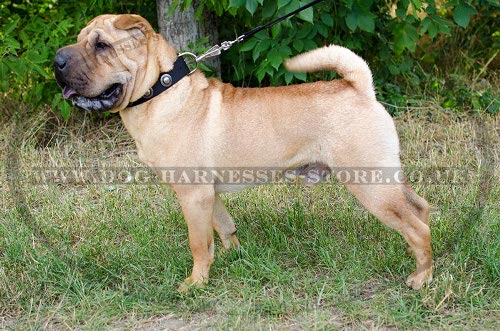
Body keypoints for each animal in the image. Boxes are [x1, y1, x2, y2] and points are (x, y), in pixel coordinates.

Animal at [52, 14, 432, 292]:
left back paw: (421, 278)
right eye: (79, 38)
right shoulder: (209, 195)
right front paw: (233, 259)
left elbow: (198, 243)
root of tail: (360, 87)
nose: (57, 60)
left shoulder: (193, 195)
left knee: (416, 227)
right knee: (420, 208)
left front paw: (195, 284)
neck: (161, 90)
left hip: (371, 185)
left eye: (102, 45)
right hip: (386, 176)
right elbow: (223, 228)